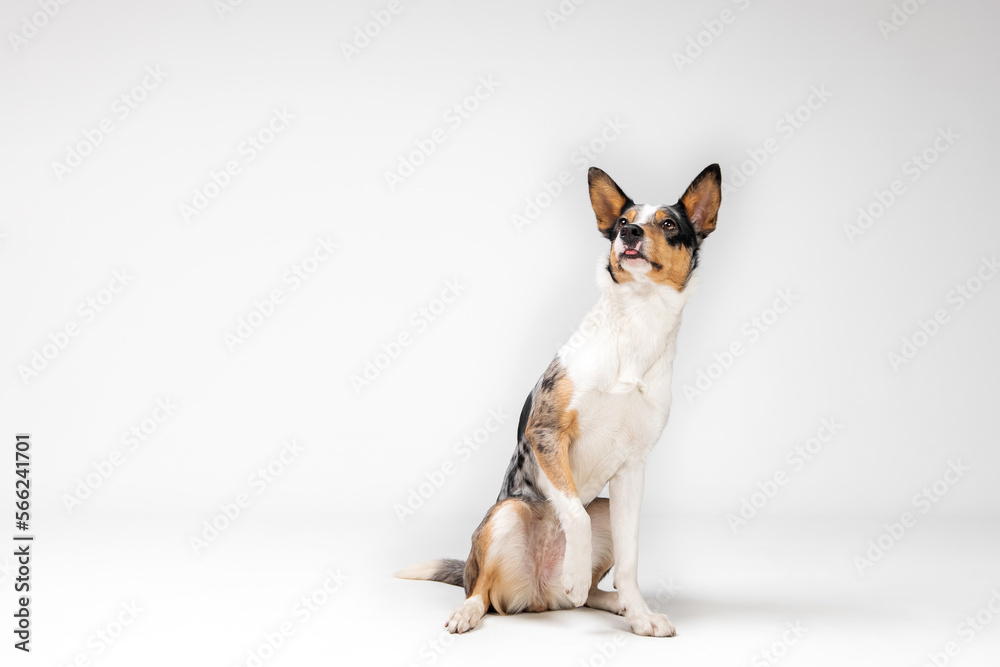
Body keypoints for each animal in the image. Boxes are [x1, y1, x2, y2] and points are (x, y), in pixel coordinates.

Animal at [394, 164, 724, 640]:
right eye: (622, 221)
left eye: (667, 224)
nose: (629, 234)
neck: (637, 325)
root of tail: (538, 596)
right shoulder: (547, 433)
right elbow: (574, 515)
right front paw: (576, 571)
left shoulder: (633, 468)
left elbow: (630, 559)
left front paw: (641, 615)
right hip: (506, 514)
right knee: (481, 590)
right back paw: (475, 609)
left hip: (604, 507)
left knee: (589, 594)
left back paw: (615, 603)